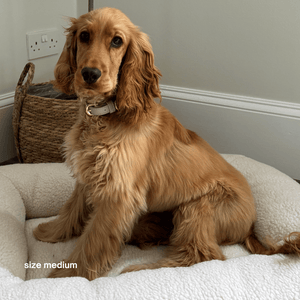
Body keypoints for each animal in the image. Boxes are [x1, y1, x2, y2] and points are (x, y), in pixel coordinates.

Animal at [32, 7, 300, 280]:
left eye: (117, 41)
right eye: (84, 36)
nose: (89, 74)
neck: (105, 115)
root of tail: (251, 228)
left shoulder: (117, 193)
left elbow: (93, 240)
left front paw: (65, 276)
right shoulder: (88, 176)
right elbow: (71, 208)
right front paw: (49, 231)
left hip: (199, 206)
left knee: (201, 254)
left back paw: (139, 269)